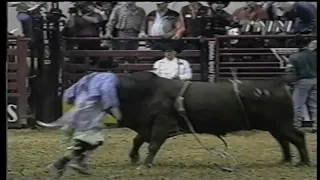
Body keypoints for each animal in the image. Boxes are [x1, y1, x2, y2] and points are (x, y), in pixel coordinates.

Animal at [117, 71, 308, 167]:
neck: (148, 91)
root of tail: (277, 84)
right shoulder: (147, 127)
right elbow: (137, 140)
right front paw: (134, 158)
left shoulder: (162, 123)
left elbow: (153, 145)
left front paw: (145, 164)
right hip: (274, 126)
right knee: (284, 141)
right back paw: (286, 160)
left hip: (281, 124)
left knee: (297, 137)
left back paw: (303, 162)